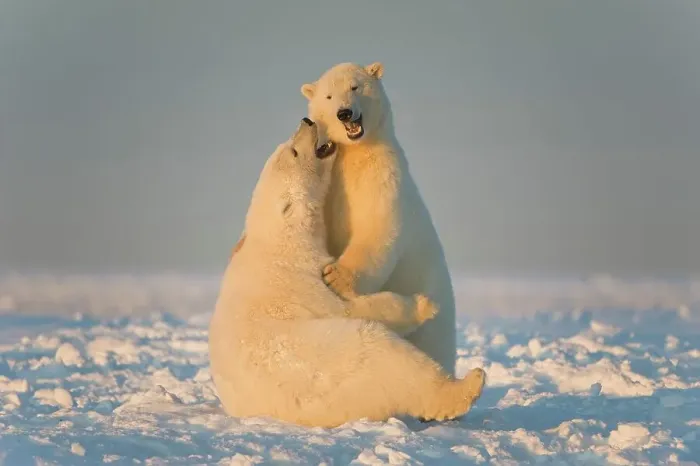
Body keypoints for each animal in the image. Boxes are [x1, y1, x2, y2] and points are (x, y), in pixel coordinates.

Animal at [209, 118, 485, 428]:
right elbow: (354, 307)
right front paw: (424, 305)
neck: (279, 240)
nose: (307, 121)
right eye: (293, 151)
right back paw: (468, 383)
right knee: (393, 361)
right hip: (348, 363)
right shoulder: (303, 280)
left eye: (288, 145)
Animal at [299, 62, 458, 377]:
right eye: (328, 97)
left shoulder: (383, 175)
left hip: (435, 309)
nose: (344, 113)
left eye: (355, 87)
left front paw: (336, 277)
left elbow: (377, 227)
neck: (355, 153)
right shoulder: (332, 184)